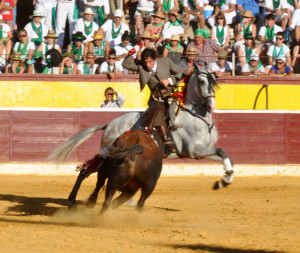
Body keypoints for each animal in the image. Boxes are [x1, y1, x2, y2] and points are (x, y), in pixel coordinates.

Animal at [49, 64, 234, 207]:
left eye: (214, 81)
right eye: (202, 81)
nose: (212, 105)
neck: (198, 117)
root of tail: (109, 124)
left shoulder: (205, 151)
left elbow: (225, 155)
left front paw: (224, 181)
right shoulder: (195, 150)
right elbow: (223, 152)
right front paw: (224, 180)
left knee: (90, 171)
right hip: (108, 152)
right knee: (87, 171)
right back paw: (73, 199)